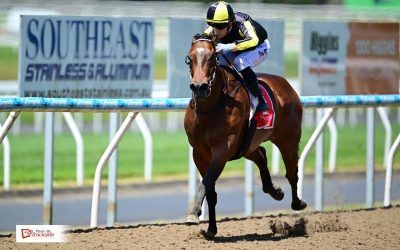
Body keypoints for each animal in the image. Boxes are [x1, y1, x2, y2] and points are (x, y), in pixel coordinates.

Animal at [184, 33, 306, 238]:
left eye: (212, 57)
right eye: (190, 58)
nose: (199, 87)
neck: (212, 107)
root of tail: (287, 85)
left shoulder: (223, 150)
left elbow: (206, 181)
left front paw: (194, 213)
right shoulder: (199, 152)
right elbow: (210, 190)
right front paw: (211, 228)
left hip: (288, 139)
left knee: (291, 172)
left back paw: (298, 203)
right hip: (247, 145)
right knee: (261, 155)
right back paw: (274, 190)